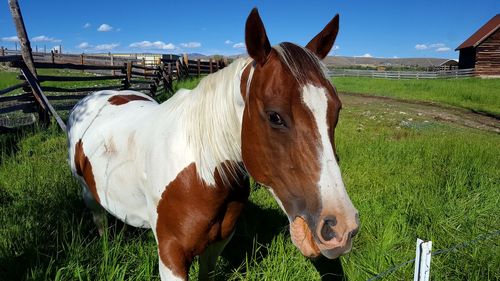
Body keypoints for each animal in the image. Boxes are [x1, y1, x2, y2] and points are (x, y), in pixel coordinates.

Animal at [67, 8, 360, 280]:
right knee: (100, 222)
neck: (203, 174)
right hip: (88, 194)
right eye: (275, 116)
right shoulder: (171, 256)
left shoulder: (217, 244)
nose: (341, 228)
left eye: (336, 111)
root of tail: (93, 97)